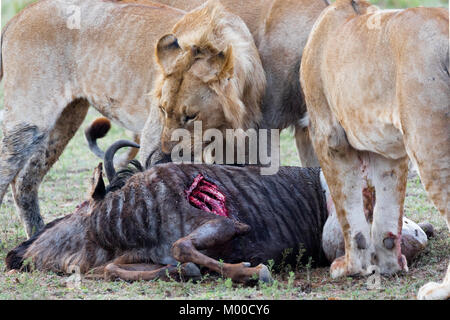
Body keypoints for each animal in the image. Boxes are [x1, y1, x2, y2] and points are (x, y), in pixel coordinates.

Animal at [298, 0, 450, 300]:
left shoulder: (329, 140)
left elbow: (349, 214)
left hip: (430, 145)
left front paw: (350, 267)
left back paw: (439, 289)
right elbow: (387, 215)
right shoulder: (389, 152)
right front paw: (391, 265)